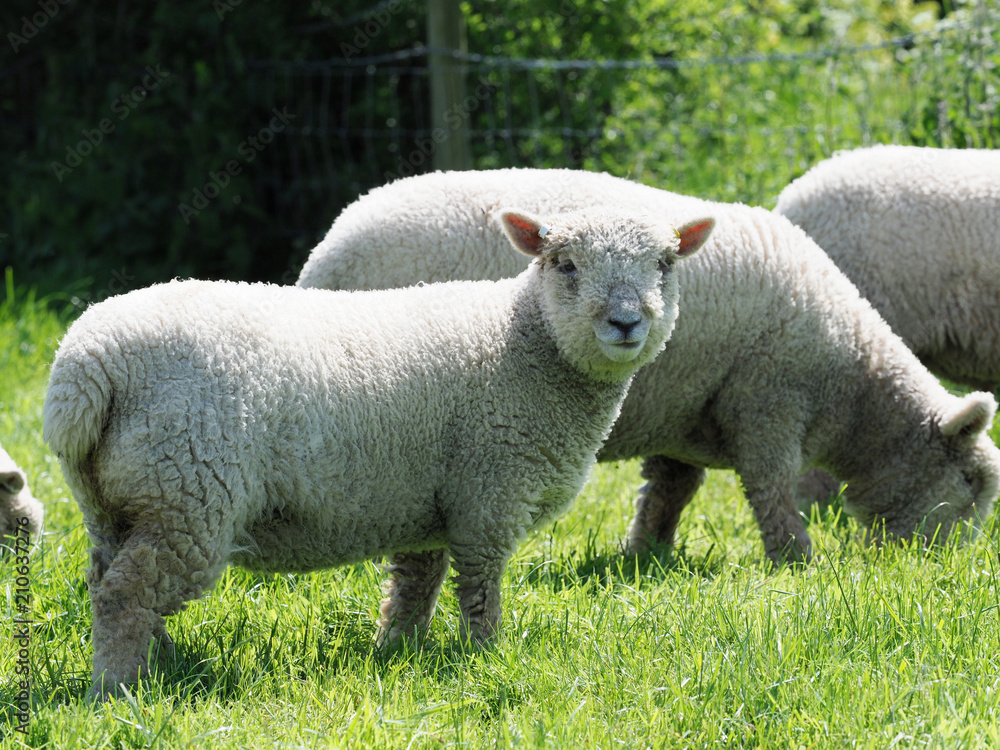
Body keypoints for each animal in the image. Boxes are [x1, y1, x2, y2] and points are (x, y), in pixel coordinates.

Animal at [43, 208, 712, 700]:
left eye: (664, 264)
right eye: (566, 264)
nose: (625, 323)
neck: (525, 344)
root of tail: (87, 365)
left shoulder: (430, 505)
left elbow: (416, 585)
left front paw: (398, 650)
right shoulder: (488, 494)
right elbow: (481, 588)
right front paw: (487, 656)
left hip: (118, 500)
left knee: (111, 579)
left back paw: (160, 663)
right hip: (189, 491)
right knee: (124, 594)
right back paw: (117, 690)